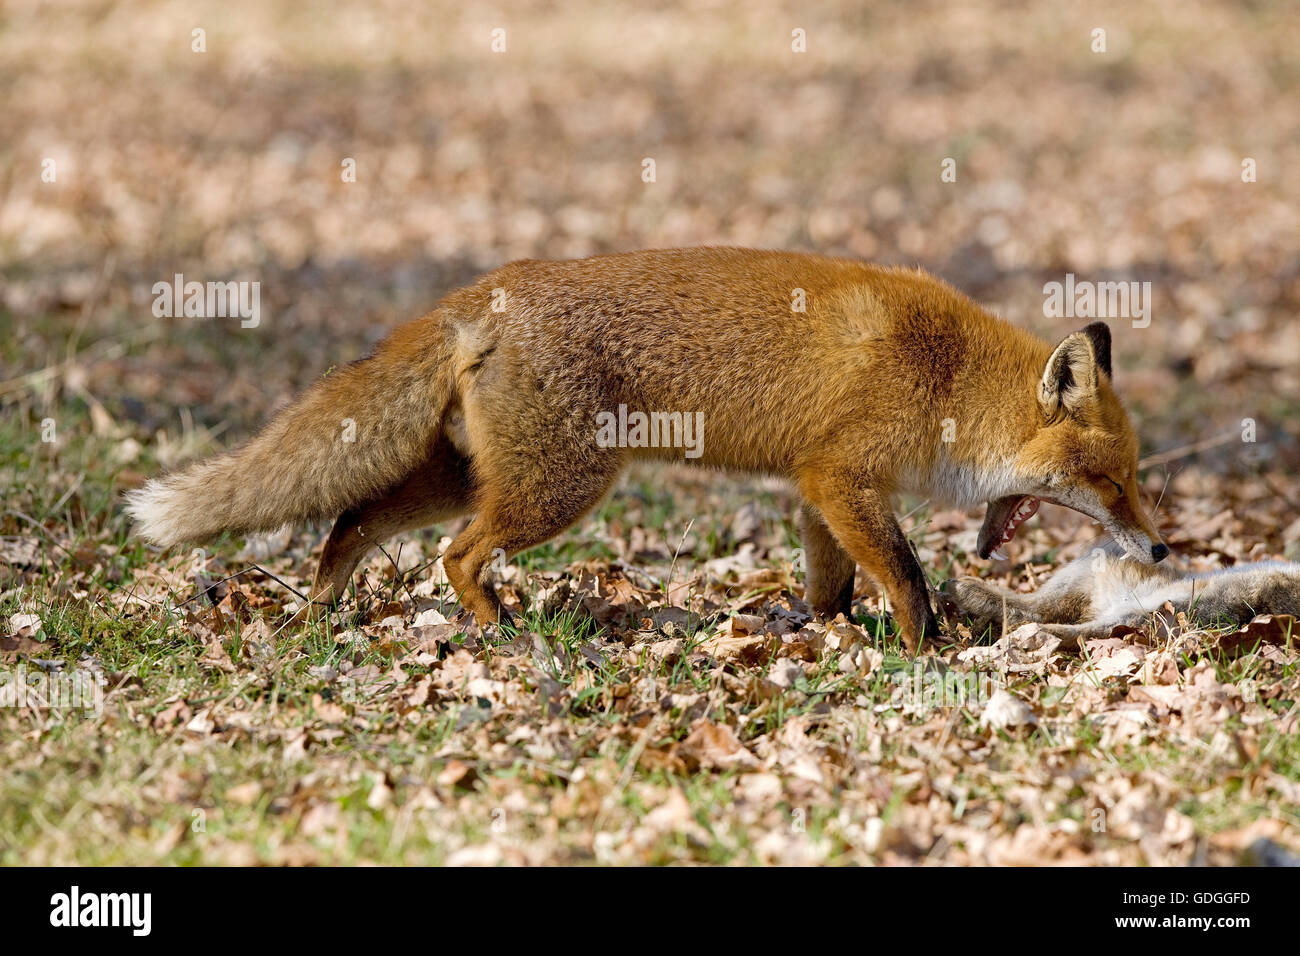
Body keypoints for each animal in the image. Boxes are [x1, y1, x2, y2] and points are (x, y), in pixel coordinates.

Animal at [129, 247, 1170, 655]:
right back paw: (499, 630)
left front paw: (823, 634)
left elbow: (832, 585)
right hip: (559, 488)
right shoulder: (842, 476)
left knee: (349, 519)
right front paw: (928, 656)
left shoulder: (819, 489)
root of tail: (489, 290)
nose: (1163, 549)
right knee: (456, 555)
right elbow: (908, 578)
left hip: (468, 474)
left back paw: (320, 611)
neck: (944, 376)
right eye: (1112, 481)